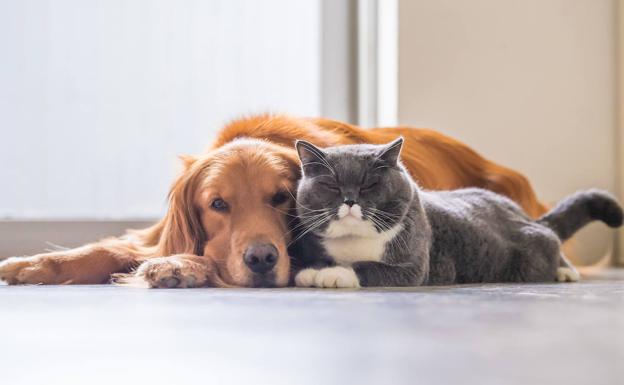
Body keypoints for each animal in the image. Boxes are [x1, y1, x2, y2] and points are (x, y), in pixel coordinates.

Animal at [0, 115, 544, 286]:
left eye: (281, 198)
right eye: (217, 205)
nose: (262, 259)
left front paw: (181, 267)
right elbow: (110, 248)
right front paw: (32, 265)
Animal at [292, 137, 624, 284]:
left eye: (369, 185)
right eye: (332, 186)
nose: (350, 200)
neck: (355, 241)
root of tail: (522, 214)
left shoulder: (414, 266)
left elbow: (366, 267)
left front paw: (329, 275)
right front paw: (314, 270)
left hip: (532, 250)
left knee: (552, 241)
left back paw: (566, 272)